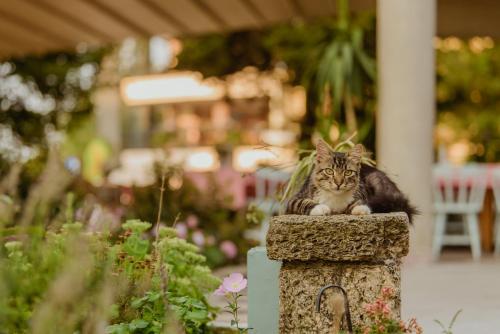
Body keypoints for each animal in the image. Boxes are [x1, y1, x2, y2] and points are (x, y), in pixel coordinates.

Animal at [286, 140, 418, 223]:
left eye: (348, 172)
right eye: (329, 171)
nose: (338, 183)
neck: (335, 197)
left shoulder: (361, 192)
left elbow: (357, 201)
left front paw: (360, 208)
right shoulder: (294, 200)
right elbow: (302, 202)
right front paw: (319, 208)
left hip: (375, 179)